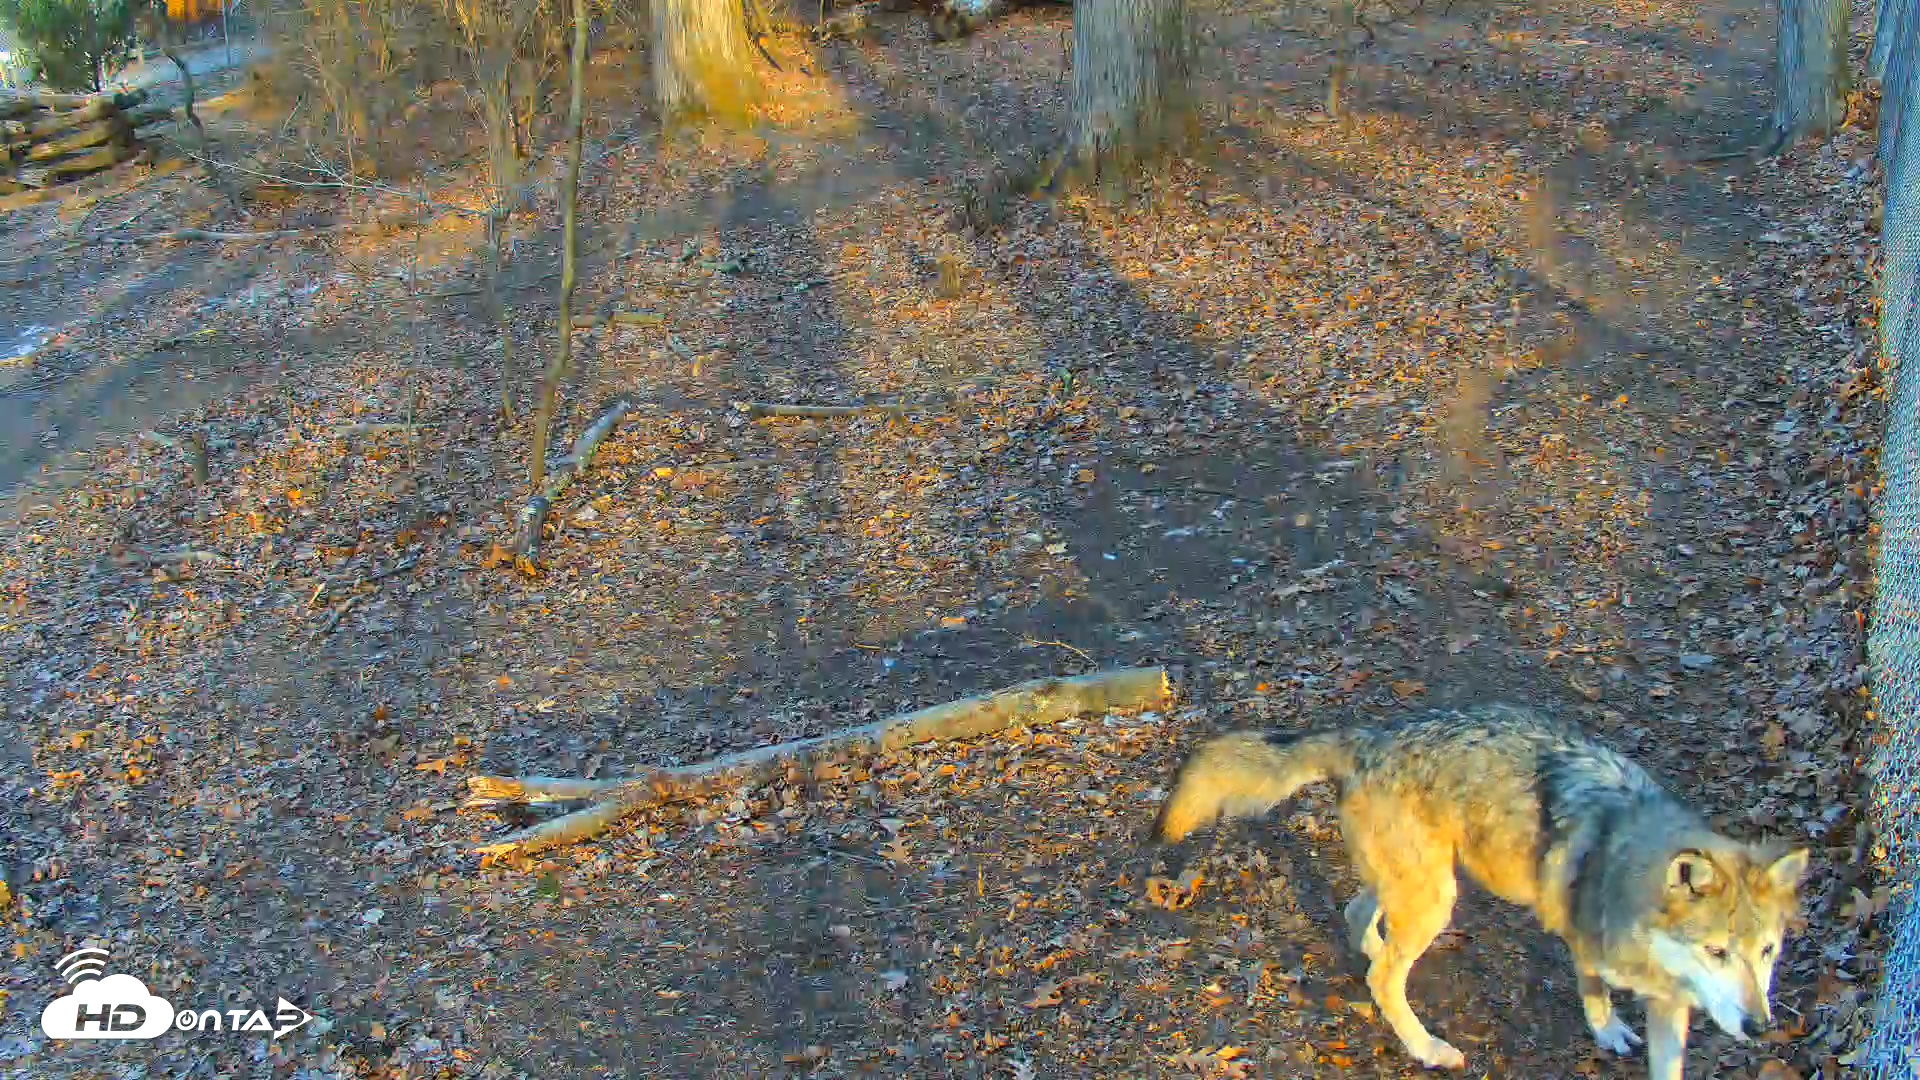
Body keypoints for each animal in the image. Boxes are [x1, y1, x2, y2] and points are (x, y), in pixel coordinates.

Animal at [1153, 703, 1809, 1079]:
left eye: (1766, 952)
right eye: (1717, 952)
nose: (1760, 1028)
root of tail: (1367, 739)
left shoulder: (1673, 1004)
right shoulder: (1583, 943)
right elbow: (1593, 989)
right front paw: (1607, 1029)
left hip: (1422, 887)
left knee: (1360, 919)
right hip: (1437, 897)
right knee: (1383, 975)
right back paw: (1427, 1047)